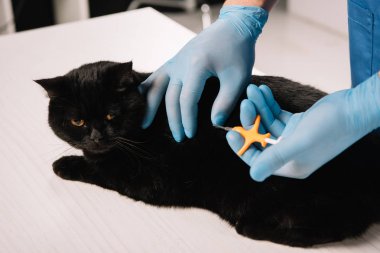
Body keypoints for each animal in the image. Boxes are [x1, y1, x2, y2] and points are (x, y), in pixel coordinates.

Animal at [36, 61, 380, 247]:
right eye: (77, 121)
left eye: (111, 115)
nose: (96, 136)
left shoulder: (146, 179)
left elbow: (101, 169)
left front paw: (65, 164)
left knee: (336, 228)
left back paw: (251, 228)